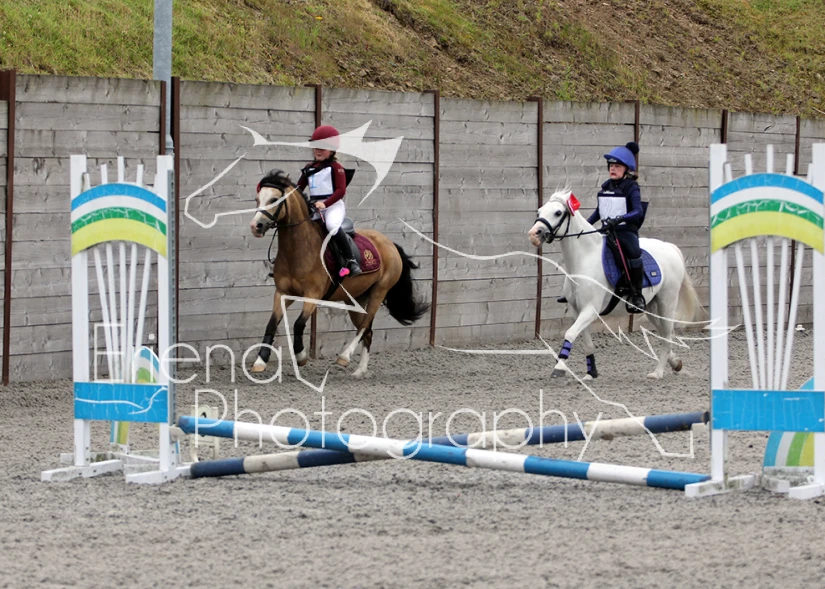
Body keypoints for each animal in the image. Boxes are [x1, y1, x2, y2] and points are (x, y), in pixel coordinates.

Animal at [249, 170, 429, 378]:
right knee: (367, 331)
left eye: (274, 199)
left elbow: (299, 324)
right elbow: (272, 323)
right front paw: (260, 361)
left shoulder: (313, 295)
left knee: (365, 326)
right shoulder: (282, 293)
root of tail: (390, 243)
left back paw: (344, 356)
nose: (256, 226)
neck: (298, 248)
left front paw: (301, 356)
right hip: (356, 298)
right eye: (257, 199)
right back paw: (360, 371)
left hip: (379, 291)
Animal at [528, 189, 704, 380]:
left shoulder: (590, 309)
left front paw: (559, 368)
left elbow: (570, 333)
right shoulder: (578, 311)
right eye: (539, 211)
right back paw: (675, 363)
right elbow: (586, 342)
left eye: (558, 212)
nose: (534, 234)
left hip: (667, 302)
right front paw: (591, 373)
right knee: (665, 332)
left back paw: (657, 373)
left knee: (667, 335)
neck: (585, 259)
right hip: (650, 306)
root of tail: (671, 248)